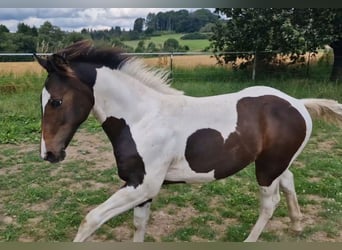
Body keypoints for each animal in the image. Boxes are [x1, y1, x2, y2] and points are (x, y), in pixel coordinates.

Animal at [34, 40, 342, 242]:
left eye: (57, 101)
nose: (50, 154)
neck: (142, 118)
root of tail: (298, 103)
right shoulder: (139, 186)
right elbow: (138, 226)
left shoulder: (143, 185)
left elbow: (91, 220)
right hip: (276, 162)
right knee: (289, 181)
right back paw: (297, 226)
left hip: (267, 168)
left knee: (270, 202)